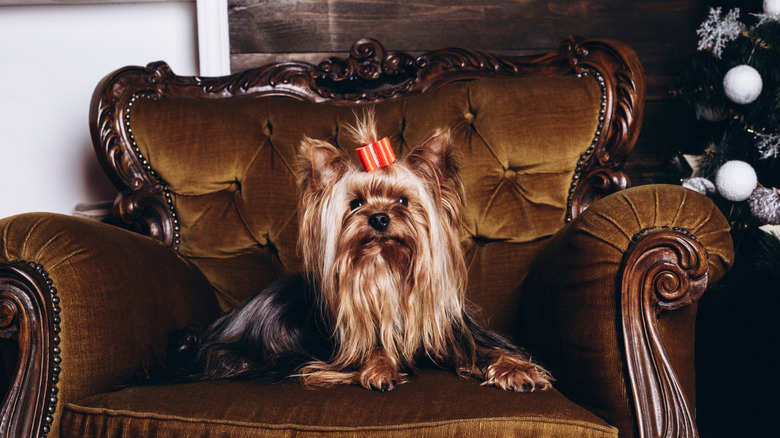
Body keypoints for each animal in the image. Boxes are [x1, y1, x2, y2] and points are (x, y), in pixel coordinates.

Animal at [171, 111, 548, 392]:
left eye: (403, 201)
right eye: (356, 203)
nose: (379, 217)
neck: (386, 268)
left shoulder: (453, 333)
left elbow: (489, 349)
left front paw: (518, 370)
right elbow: (374, 348)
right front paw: (380, 370)